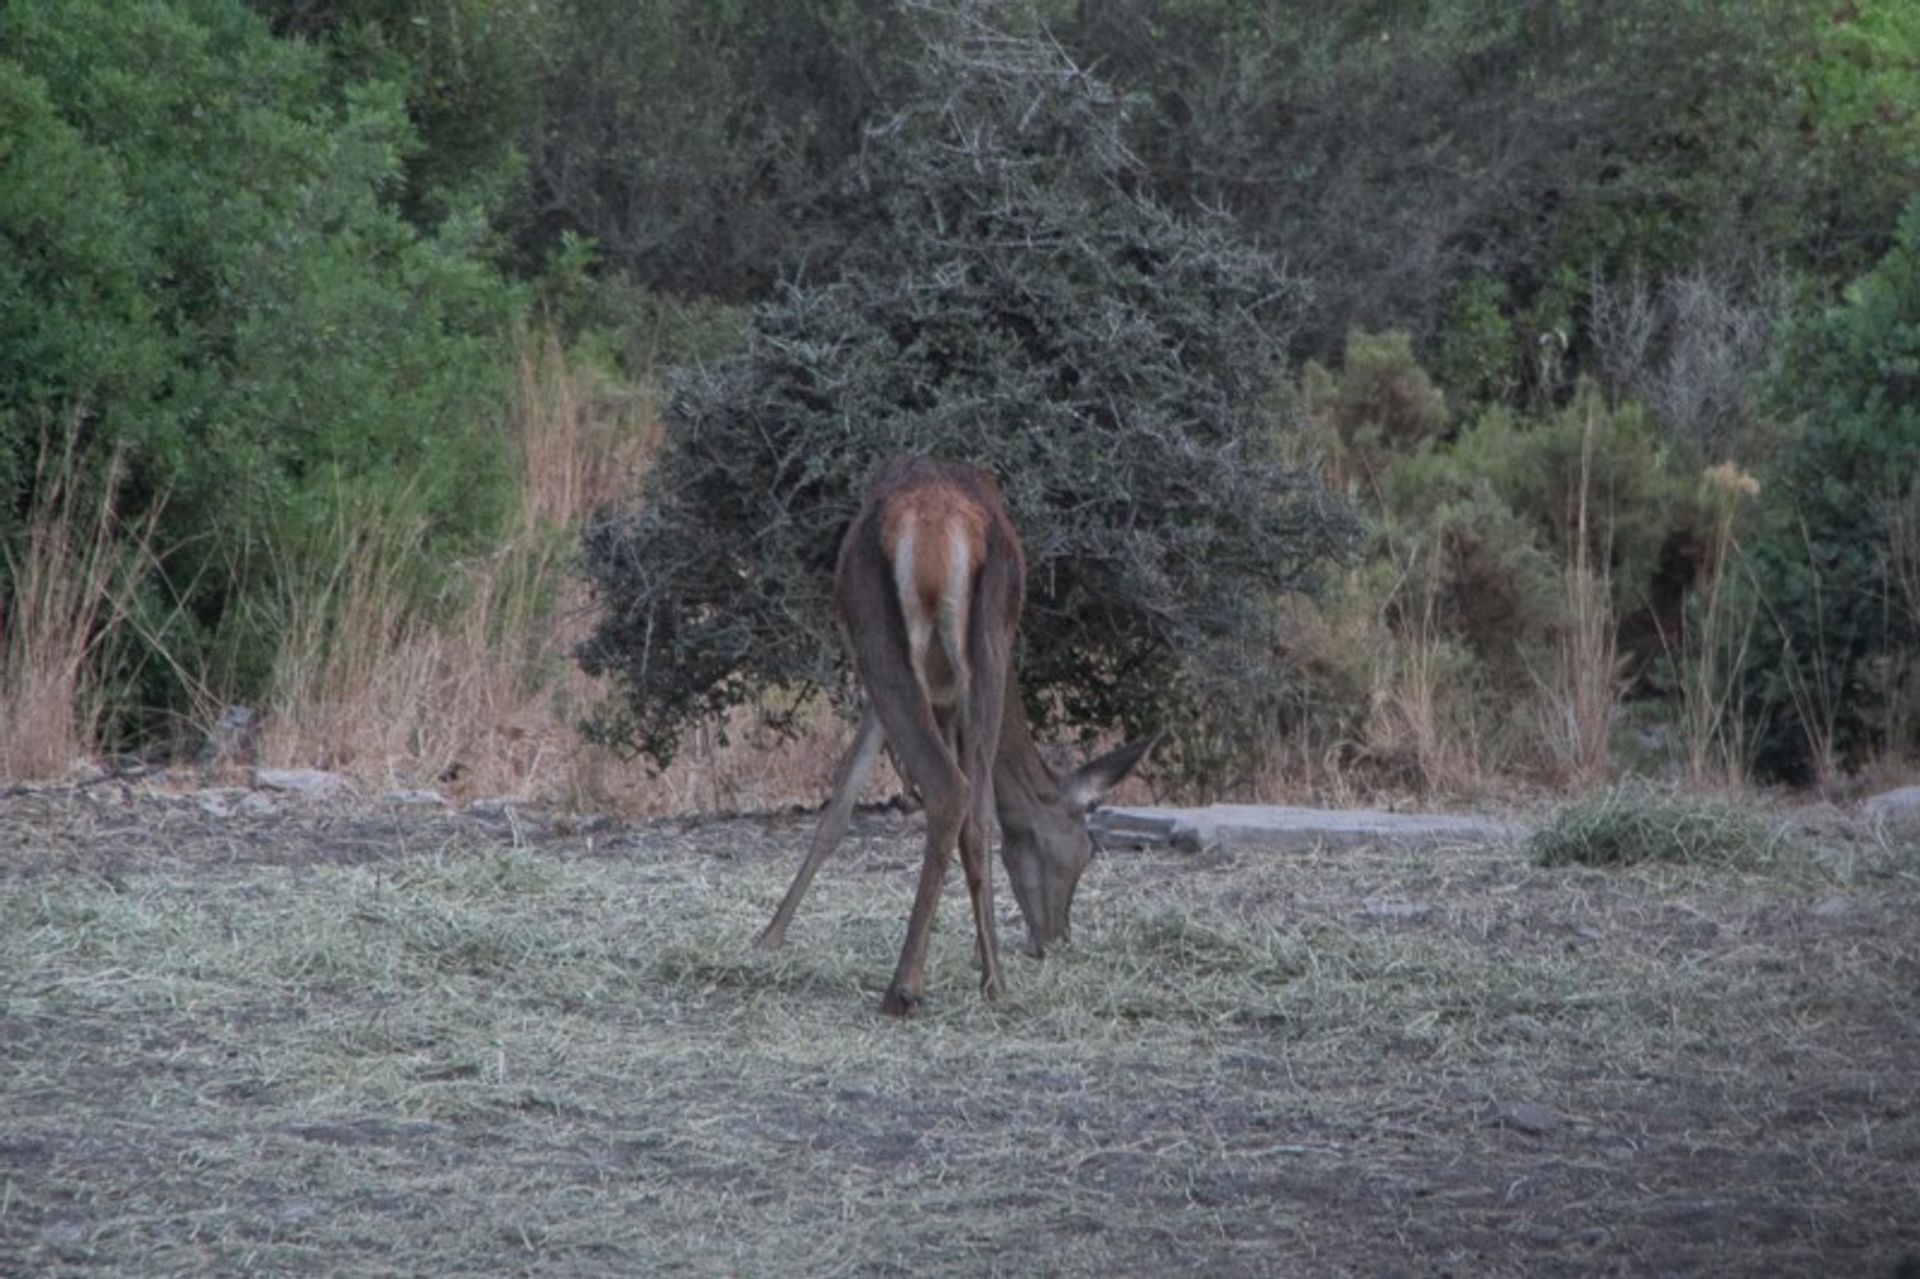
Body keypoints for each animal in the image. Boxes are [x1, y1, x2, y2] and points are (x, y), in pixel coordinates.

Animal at [756, 453, 1152, 1013]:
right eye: (1085, 851)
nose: (1054, 940)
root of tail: (938, 527)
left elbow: (841, 804)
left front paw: (768, 936)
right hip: (980, 645)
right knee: (971, 801)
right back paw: (978, 981)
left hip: (887, 647)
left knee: (951, 790)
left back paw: (910, 985)